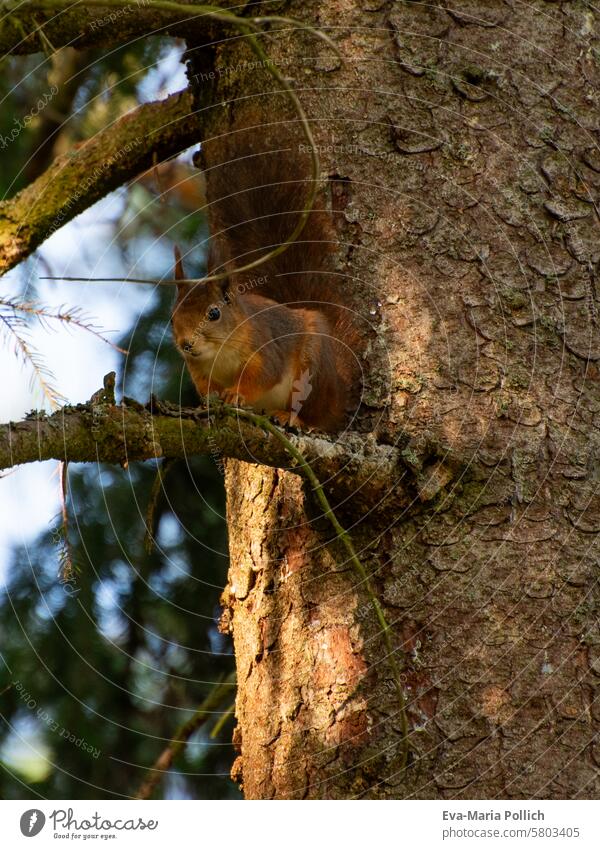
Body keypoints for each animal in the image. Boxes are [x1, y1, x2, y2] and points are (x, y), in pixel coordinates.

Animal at [171, 145, 358, 430]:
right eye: (171, 319)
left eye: (214, 313)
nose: (186, 344)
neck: (217, 355)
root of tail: (336, 398)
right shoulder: (198, 371)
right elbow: (207, 389)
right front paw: (210, 403)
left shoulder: (265, 350)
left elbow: (263, 375)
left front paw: (236, 394)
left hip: (312, 367)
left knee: (313, 414)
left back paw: (292, 417)